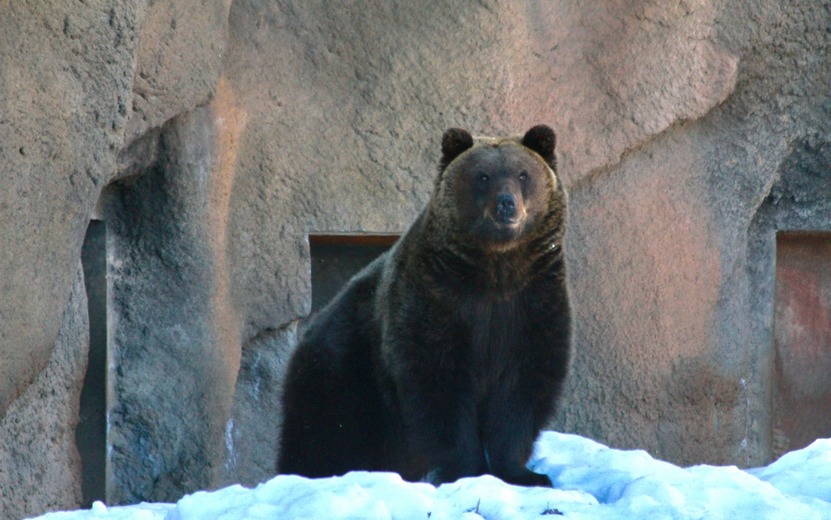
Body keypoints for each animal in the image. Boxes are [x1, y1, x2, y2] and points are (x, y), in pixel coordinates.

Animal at [280, 125, 572, 488]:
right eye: (483, 176)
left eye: (523, 174)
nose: (507, 204)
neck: (494, 270)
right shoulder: (435, 297)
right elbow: (438, 383)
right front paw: (464, 468)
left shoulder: (533, 302)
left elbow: (522, 388)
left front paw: (525, 474)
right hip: (343, 373)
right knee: (323, 434)